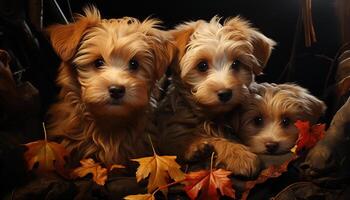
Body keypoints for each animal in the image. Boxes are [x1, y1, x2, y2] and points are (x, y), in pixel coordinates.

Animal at [158, 17, 276, 177]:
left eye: (236, 63)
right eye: (202, 66)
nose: (225, 93)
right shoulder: (169, 130)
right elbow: (180, 138)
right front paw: (240, 155)